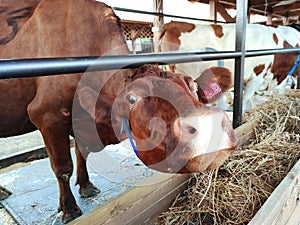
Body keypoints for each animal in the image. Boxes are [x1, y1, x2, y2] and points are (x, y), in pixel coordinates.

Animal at [0, 0, 238, 223]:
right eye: (132, 98)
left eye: (195, 87)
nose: (211, 125)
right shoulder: (48, 116)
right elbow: (62, 167)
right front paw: (69, 208)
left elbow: (81, 152)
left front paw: (86, 185)